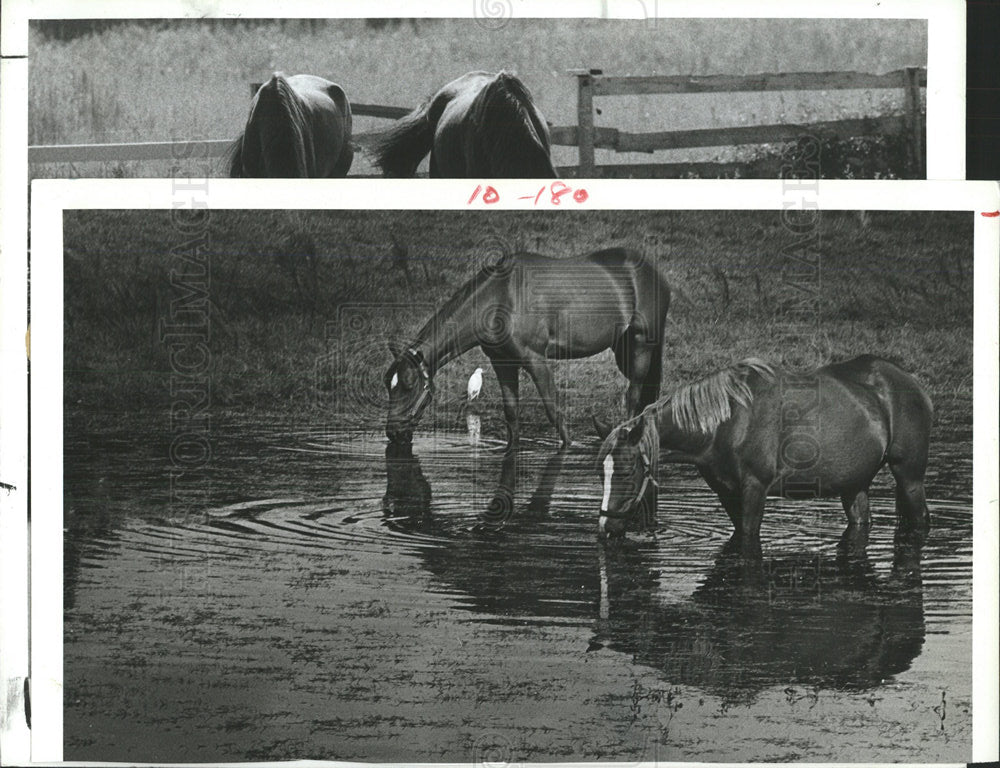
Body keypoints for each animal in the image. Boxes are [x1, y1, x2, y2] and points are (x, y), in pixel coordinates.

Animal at [382, 246, 672, 450]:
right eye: (389, 384)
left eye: (409, 385)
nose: (393, 433)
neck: (502, 297)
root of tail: (651, 271)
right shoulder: (502, 363)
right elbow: (511, 412)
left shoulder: (535, 360)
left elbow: (553, 410)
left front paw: (568, 447)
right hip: (622, 348)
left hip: (640, 345)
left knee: (634, 394)